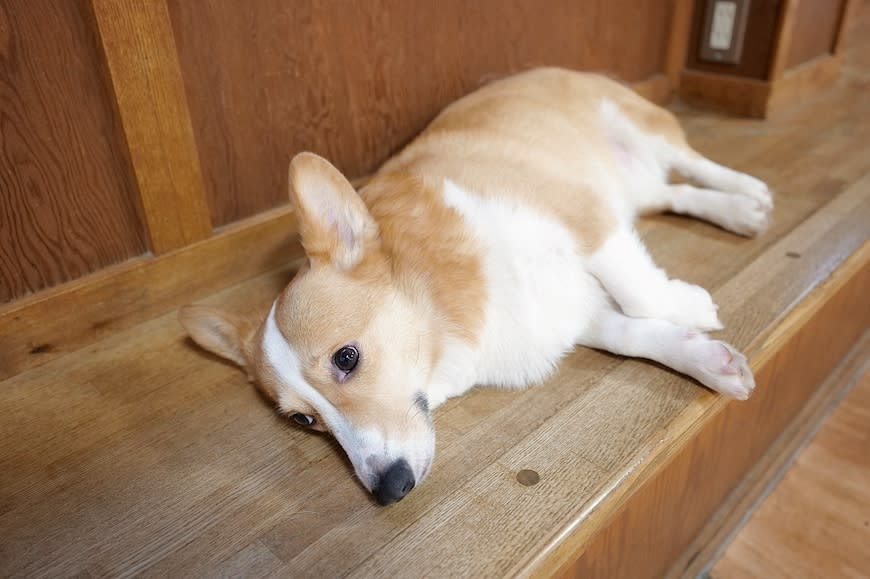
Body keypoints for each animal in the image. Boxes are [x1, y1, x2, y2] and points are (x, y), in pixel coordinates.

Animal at [181, 68, 772, 506]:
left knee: (696, 164)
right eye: (304, 420)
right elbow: (632, 335)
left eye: (346, 358)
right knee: (673, 194)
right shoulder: (570, 311)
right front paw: (709, 362)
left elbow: (642, 293)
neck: (448, 312)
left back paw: (749, 193)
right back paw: (734, 211)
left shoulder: (585, 218)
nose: (389, 490)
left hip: (638, 131)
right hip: (635, 187)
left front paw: (689, 306)